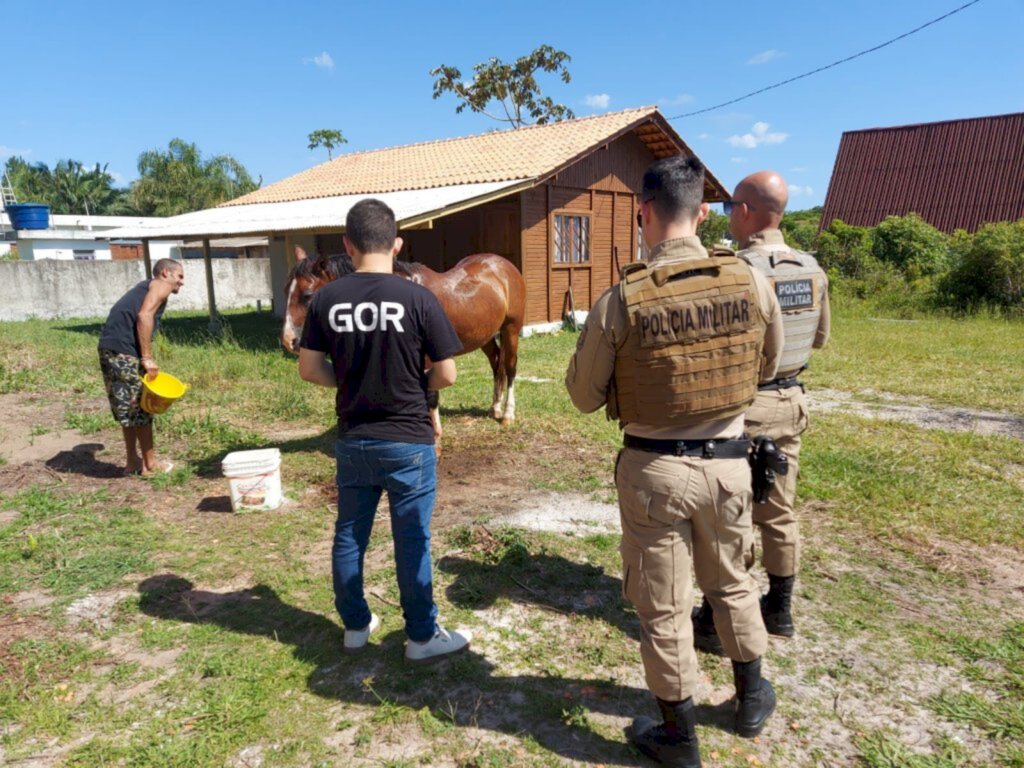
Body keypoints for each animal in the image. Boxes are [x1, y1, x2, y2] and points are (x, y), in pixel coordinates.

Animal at [282, 246, 528, 428]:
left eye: (308, 295)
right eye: (287, 292)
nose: (288, 340)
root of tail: (503, 265)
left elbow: (430, 395)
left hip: (510, 329)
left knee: (510, 367)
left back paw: (507, 414)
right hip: (485, 336)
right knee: (496, 364)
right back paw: (495, 407)